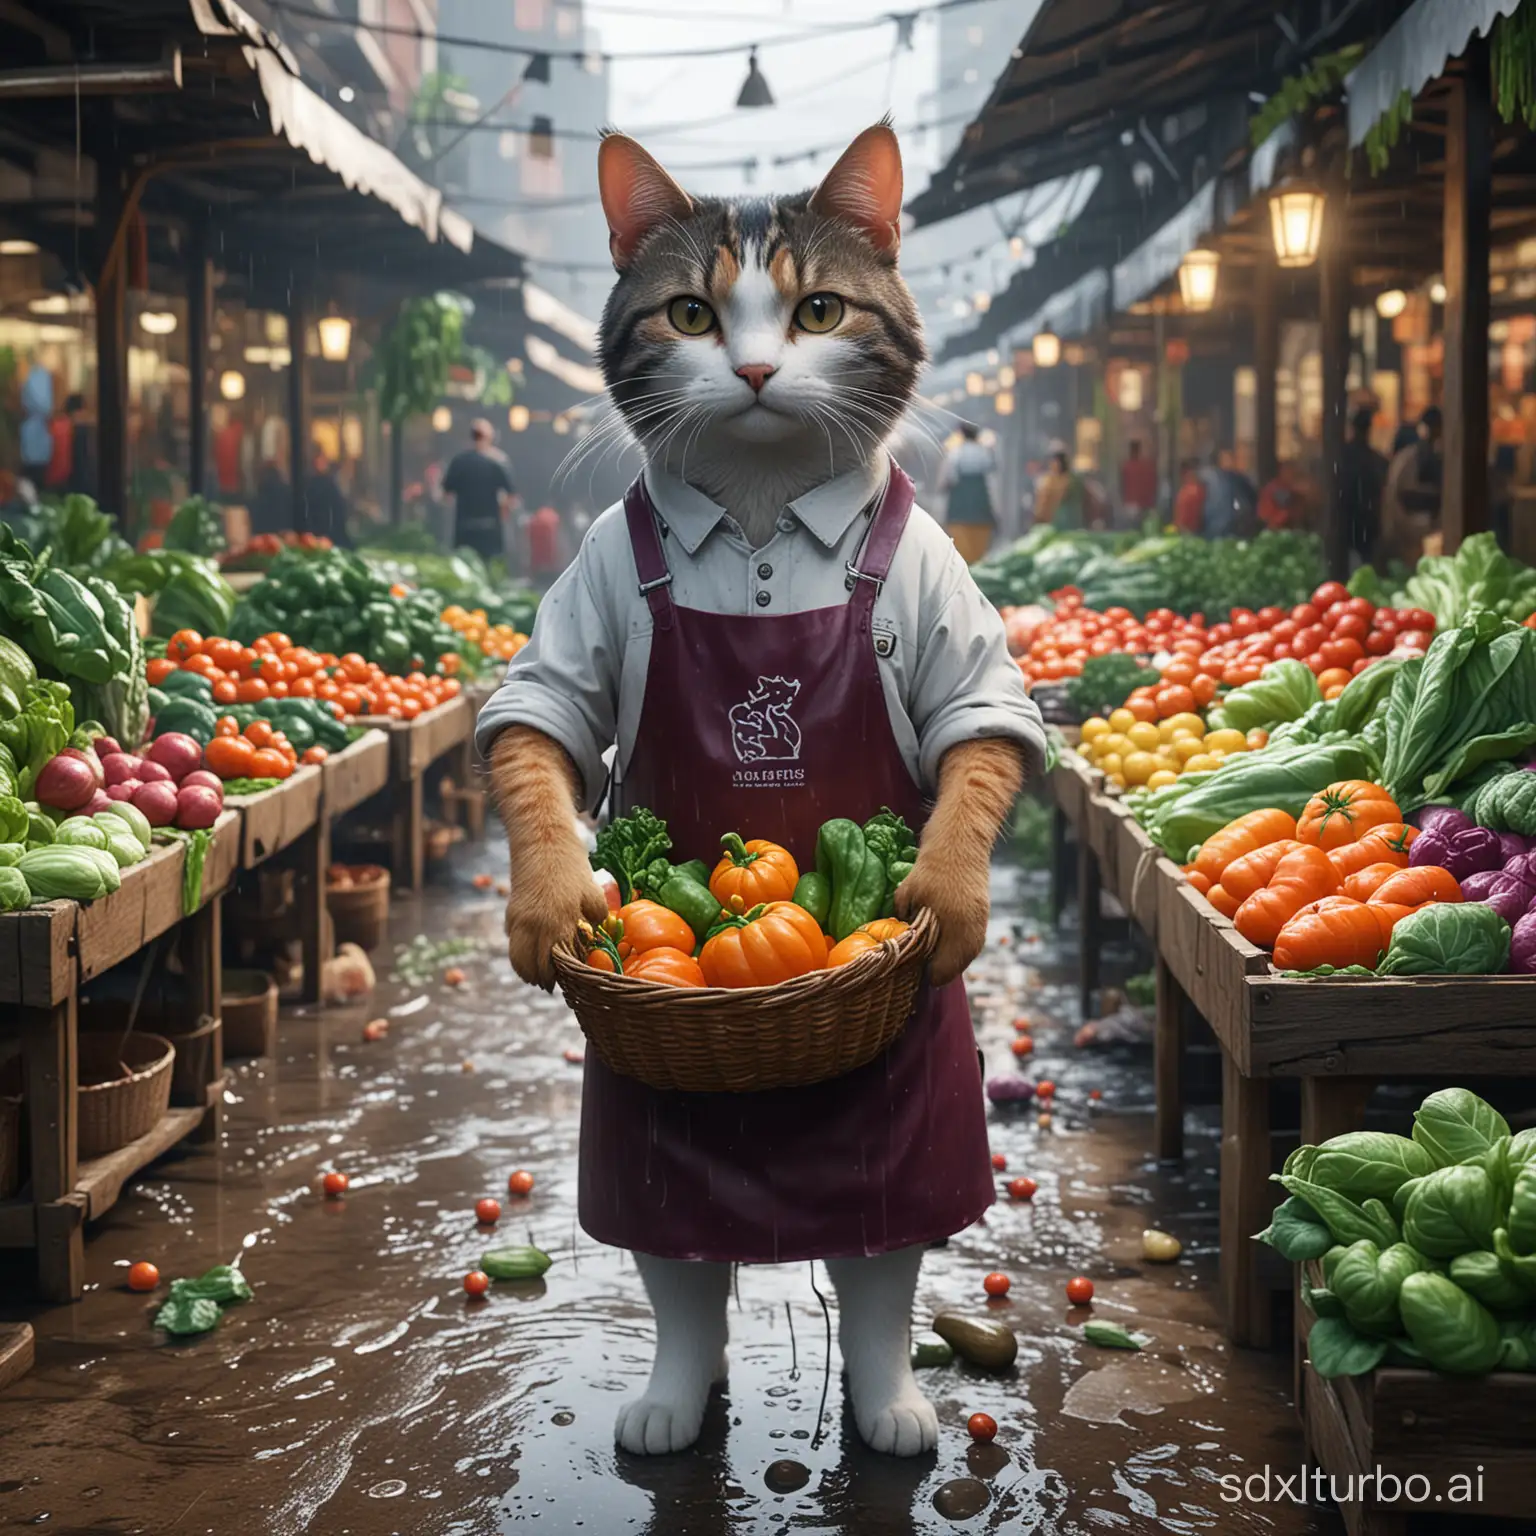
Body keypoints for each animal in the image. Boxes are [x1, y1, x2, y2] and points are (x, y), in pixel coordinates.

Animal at [476, 125, 1044, 1456]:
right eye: (690, 314)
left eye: (816, 310)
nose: (749, 367)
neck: (758, 513)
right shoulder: (587, 592)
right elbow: (538, 729)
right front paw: (549, 905)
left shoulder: (944, 600)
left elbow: (981, 733)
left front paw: (945, 895)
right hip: (645, 1147)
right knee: (678, 1267)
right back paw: (676, 1396)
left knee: (883, 1259)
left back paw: (890, 1401)